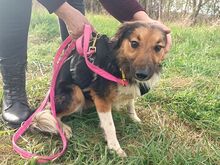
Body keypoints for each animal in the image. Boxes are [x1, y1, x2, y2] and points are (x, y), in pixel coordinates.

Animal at [31, 21, 168, 157]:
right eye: (134, 43)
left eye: (158, 48)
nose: (142, 74)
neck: (120, 65)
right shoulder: (101, 97)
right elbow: (110, 125)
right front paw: (115, 148)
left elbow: (130, 105)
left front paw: (134, 119)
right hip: (76, 93)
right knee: (50, 112)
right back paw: (63, 129)